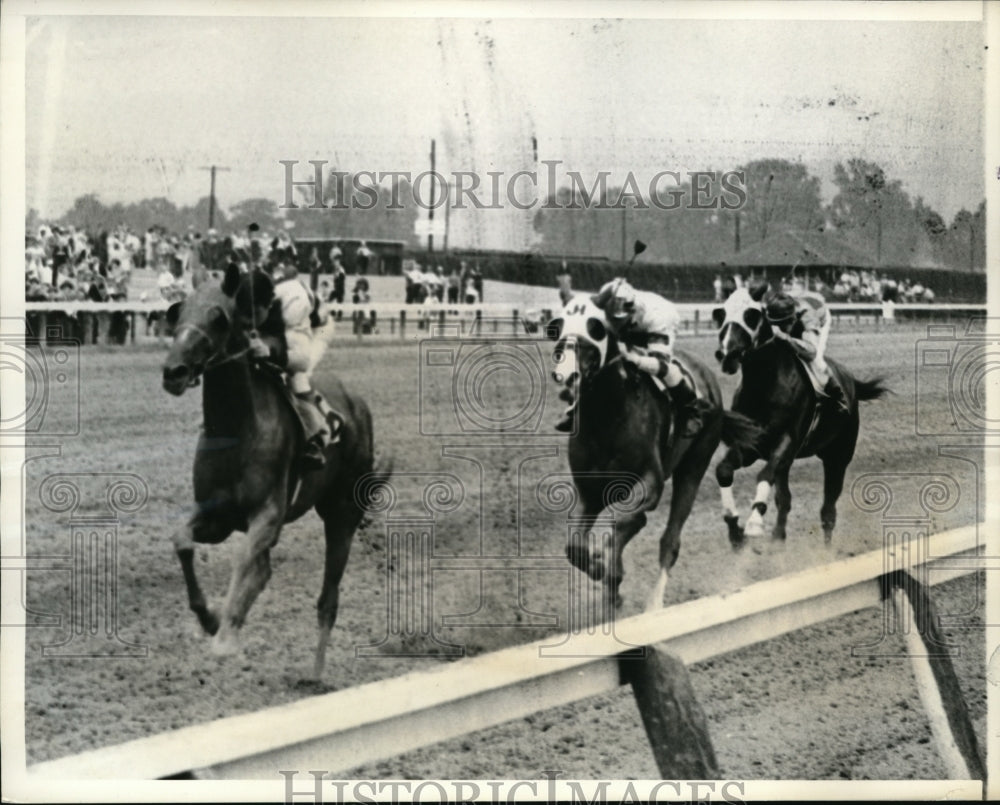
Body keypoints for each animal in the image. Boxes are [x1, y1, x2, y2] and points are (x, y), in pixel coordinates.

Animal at [162, 266, 384, 680]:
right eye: (177, 312)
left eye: (218, 318)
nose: (173, 372)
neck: (236, 429)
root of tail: (358, 405)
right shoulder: (217, 517)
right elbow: (183, 541)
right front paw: (210, 618)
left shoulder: (266, 514)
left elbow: (243, 559)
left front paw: (225, 635)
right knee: (265, 570)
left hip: (342, 514)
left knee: (328, 598)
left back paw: (315, 674)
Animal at [548, 296, 756, 608]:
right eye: (559, 334)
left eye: (594, 332)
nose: (566, 376)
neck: (605, 416)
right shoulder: (590, 491)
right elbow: (574, 545)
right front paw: (601, 571)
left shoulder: (650, 482)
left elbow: (627, 521)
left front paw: (608, 568)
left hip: (693, 468)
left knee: (670, 541)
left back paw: (654, 604)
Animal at [716, 284, 888, 548]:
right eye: (721, 315)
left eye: (751, 315)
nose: (727, 354)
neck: (763, 384)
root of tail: (851, 381)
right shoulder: (750, 445)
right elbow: (724, 471)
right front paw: (734, 528)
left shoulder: (786, 441)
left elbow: (765, 473)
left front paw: (754, 521)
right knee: (785, 500)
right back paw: (778, 540)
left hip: (837, 457)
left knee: (828, 511)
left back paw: (826, 552)